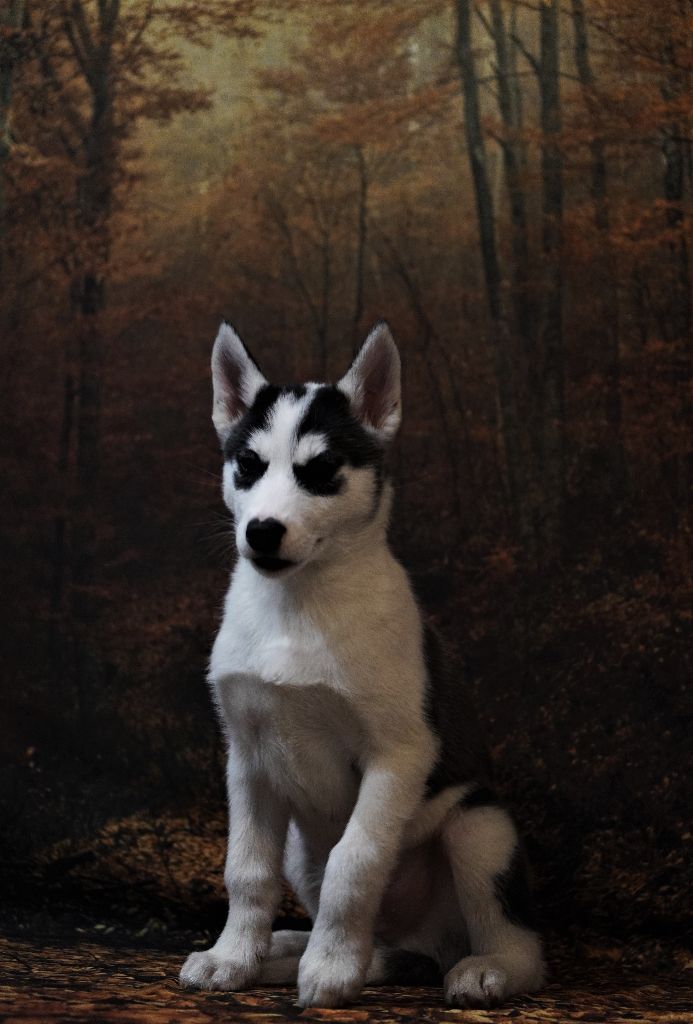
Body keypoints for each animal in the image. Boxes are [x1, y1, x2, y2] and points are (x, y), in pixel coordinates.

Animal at [179, 321, 545, 1008]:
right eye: (248, 465)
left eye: (321, 471)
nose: (261, 531)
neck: (298, 605)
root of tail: (429, 938)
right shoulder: (248, 760)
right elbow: (246, 870)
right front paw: (233, 958)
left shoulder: (397, 756)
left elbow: (356, 863)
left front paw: (329, 970)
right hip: (302, 850)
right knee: (385, 944)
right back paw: (285, 951)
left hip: (480, 828)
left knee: (519, 947)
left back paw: (484, 970)